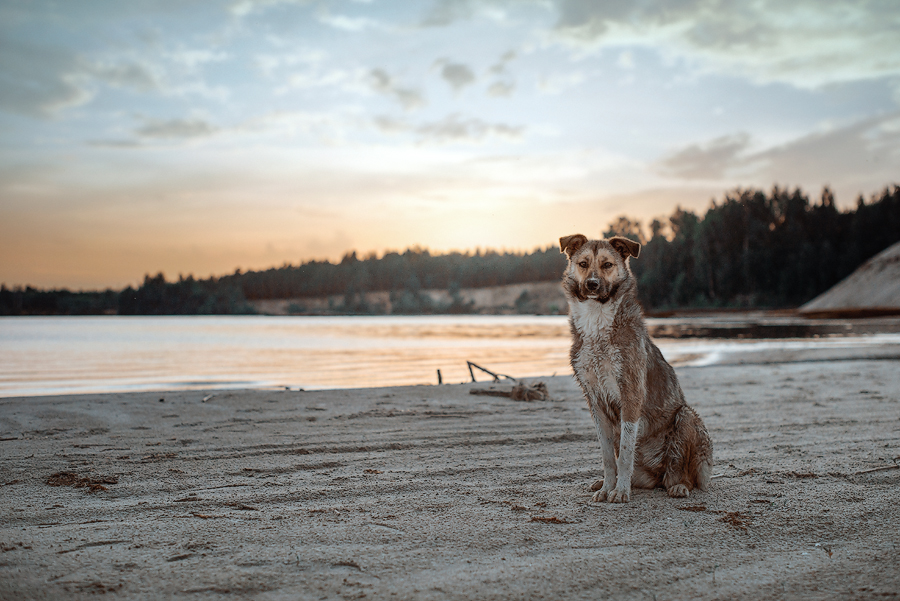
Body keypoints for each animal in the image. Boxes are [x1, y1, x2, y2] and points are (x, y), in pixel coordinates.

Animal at [560, 234, 712, 502]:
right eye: (583, 263)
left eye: (607, 265)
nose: (592, 284)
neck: (596, 323)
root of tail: (657, 476)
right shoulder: (594, 399)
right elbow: (608, 456)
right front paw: (607, 487)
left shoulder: (630, 394)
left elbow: (625, 453)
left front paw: (620, 491)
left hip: (687, 417)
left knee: (681, 472)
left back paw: (678, 486)